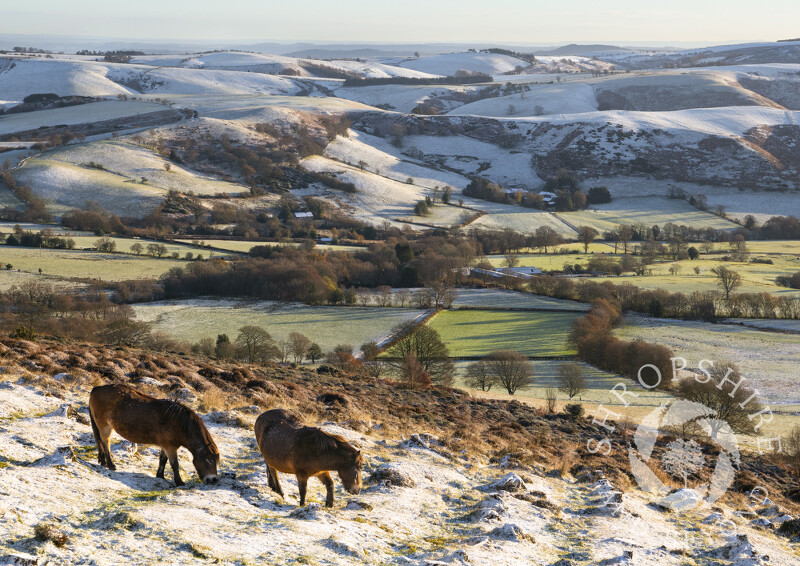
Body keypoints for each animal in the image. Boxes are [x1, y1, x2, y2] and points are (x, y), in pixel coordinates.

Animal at [89, 386, 220, 488]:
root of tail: (97, 388)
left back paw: (102, 461)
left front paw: (160, 476)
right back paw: (111, 465)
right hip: (105, 426)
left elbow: (163, 460)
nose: (213, 480)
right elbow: (175, 464)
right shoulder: (170, 447)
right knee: (105, 443)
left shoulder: (165, 446)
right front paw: (179, 482)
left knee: (99, 441)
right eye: (210, 459)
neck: (179, 423)